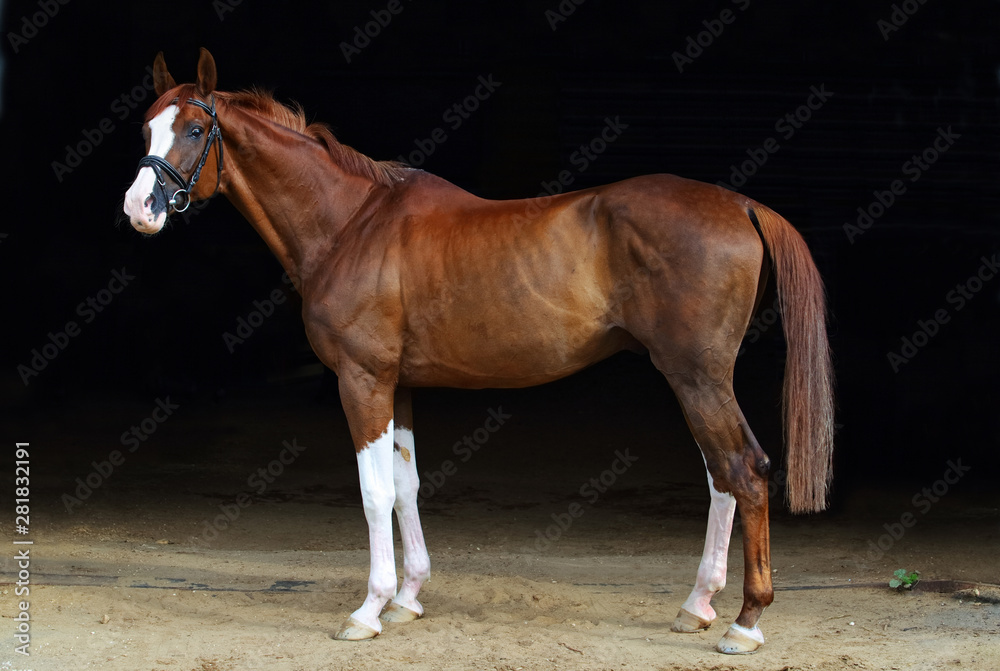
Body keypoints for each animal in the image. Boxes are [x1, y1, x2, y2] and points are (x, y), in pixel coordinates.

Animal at [123, 48, 834, 655]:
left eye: (194, 129)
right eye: (146, 129)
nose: (139, 208)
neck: (350, 224)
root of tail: (741, 204)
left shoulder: (362, 380)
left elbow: (373, 493)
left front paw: (367, 610)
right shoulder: (399, 385)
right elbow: (406, 485)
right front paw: (407, 599)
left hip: (696, 375)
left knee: (744, 471)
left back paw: (745, 622)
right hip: (694, 379)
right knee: (721, 477)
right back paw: (698, 605)